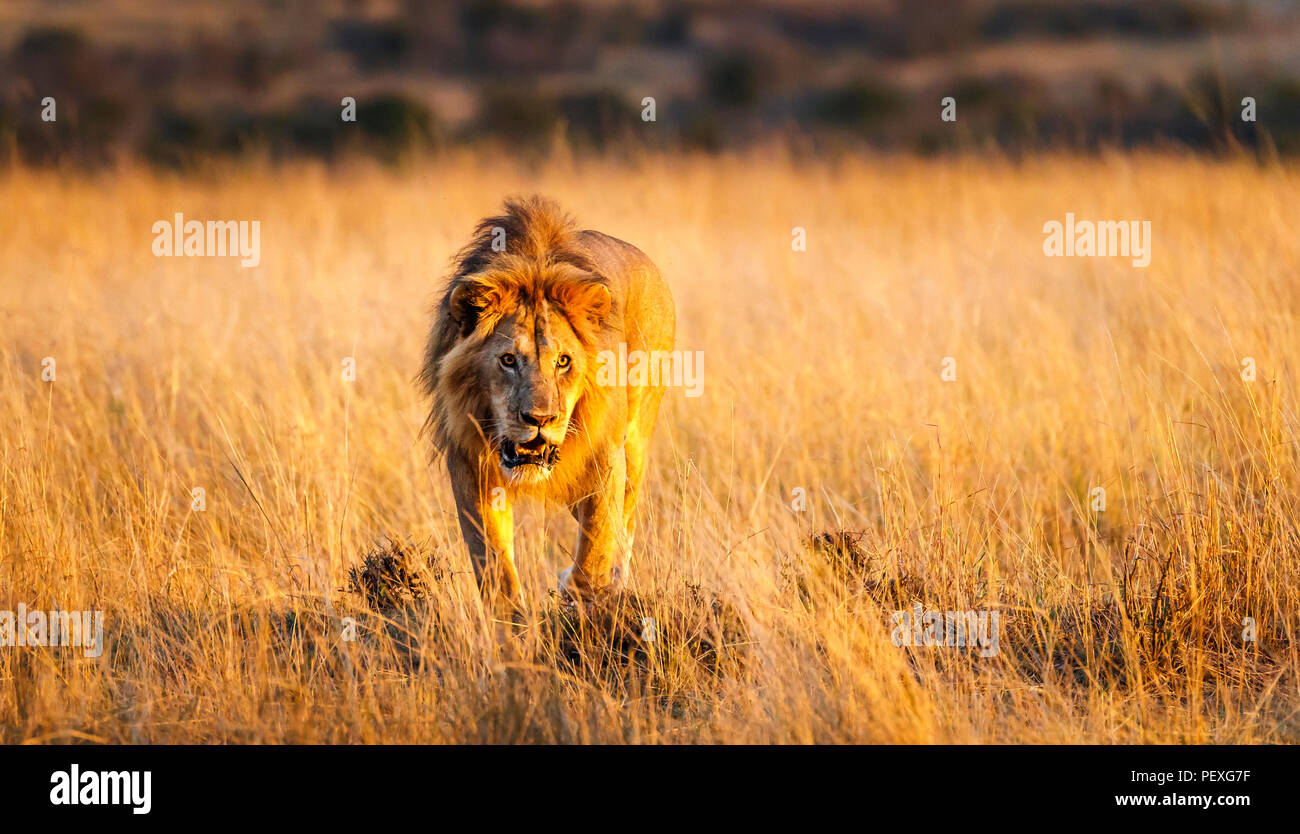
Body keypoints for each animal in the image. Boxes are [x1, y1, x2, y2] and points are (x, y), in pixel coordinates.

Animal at [421, 194, 676, 610]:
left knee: (625, 523)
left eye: (563, 361)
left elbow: (596, 547)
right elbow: (494, 565)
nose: (540, 419)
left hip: (636, 442)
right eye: (508, 360)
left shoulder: (604, 454)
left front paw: (584, 598)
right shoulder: (469, 464)